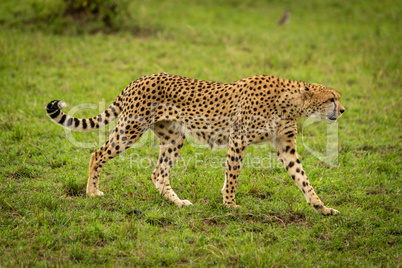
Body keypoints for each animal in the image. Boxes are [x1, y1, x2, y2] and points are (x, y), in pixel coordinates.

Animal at [45, 73, 344, 216]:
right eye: (332, 98)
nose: (342, 110)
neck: (291, 102)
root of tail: (139, 78)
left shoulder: (285, 147)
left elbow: (303, 179)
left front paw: (322, 208)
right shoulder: (238, 139)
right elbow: (233, 176)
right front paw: (230, 205)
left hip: (174, 137)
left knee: (158, 173)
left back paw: (178, 203)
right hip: (130, 129)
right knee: (97, 154)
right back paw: (92, 192)